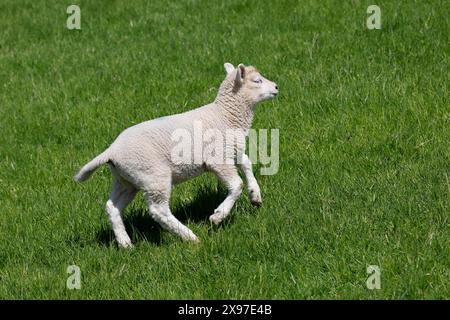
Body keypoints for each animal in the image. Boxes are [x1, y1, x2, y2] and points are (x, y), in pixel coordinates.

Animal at [74, 62, 278, 248]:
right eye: (257, 80)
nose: (276, 87)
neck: (226, 115)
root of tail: (111, 151)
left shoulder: (232, 150)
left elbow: (247, 164)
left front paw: (255, 196)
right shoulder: (217, 158)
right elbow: (237, 185)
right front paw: (218, 216)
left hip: (127, 179)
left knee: (112, 207)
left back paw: (125, 243)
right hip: (154, 175)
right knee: (158, 211)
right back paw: (189, 237)